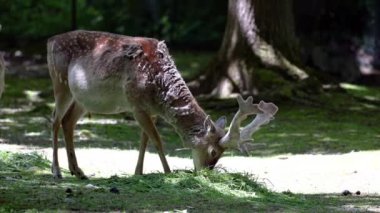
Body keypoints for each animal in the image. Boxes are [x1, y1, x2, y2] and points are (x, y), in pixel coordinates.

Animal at [47, 30, 280, 179]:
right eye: (214, 152)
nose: (207, 172)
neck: (159, 92)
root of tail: (50, 41)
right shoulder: (135, 104)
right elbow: (157, 140)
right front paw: (168, 172)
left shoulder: (150, 110)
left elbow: (145, 140)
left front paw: (138, 172)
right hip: (60, 83)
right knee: (55, 121)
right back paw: (57, 171)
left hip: (82, 99)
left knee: (68, 122)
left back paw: (78, 171)